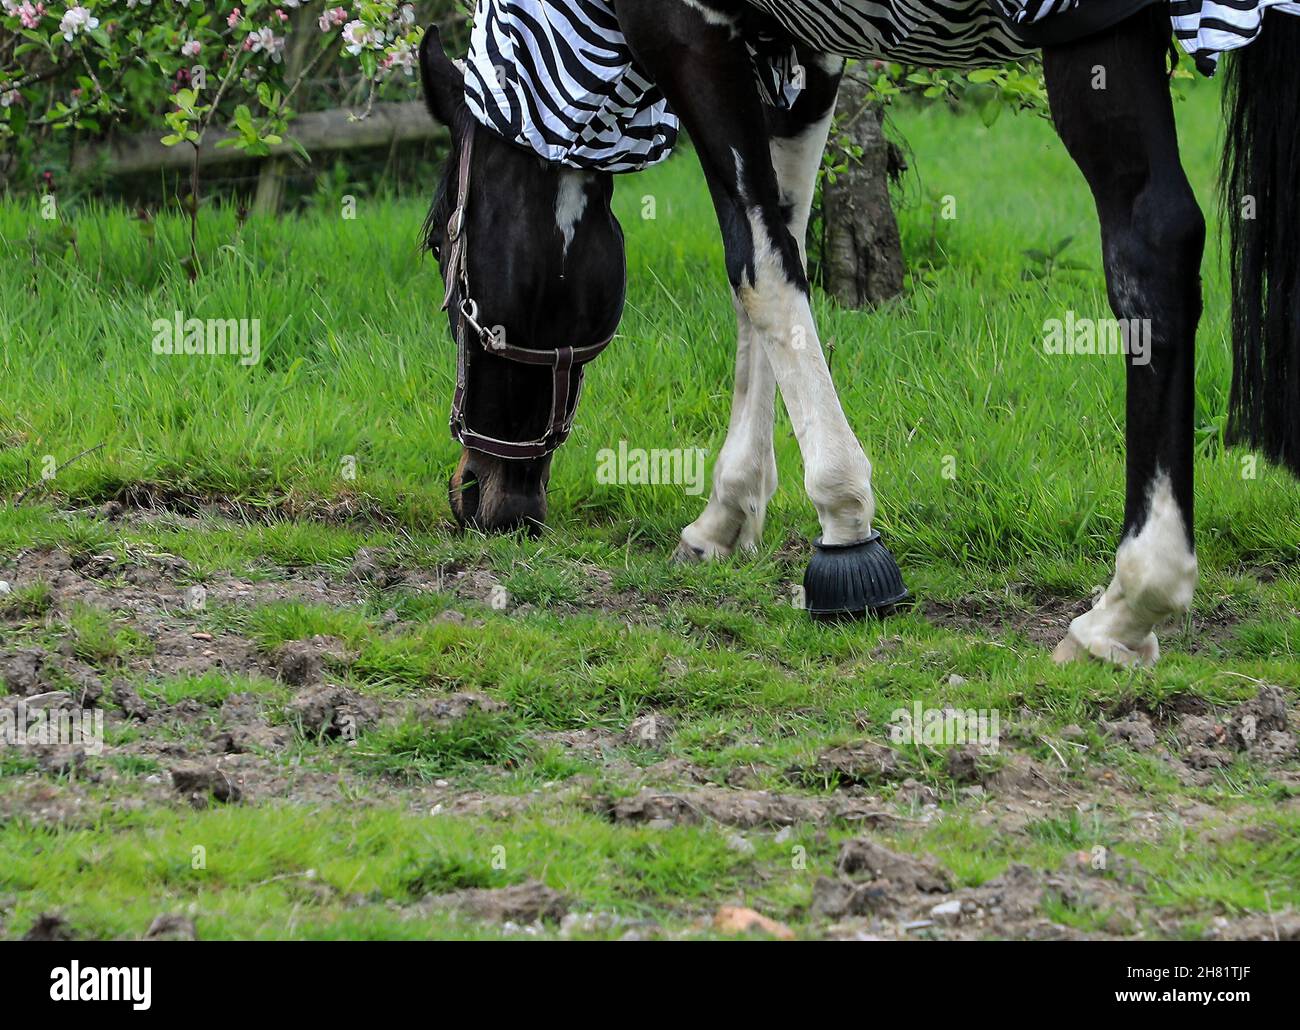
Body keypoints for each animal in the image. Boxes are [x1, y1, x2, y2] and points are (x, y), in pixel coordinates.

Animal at [417, 0, 1300, 666]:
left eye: (438, 249)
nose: (475, 496)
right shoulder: (807, 53)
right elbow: (781, 242)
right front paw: (729, 510)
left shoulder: (690, 33)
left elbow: (758, 266)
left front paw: (844, 524)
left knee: (1152, 249)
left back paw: (1130, 603)